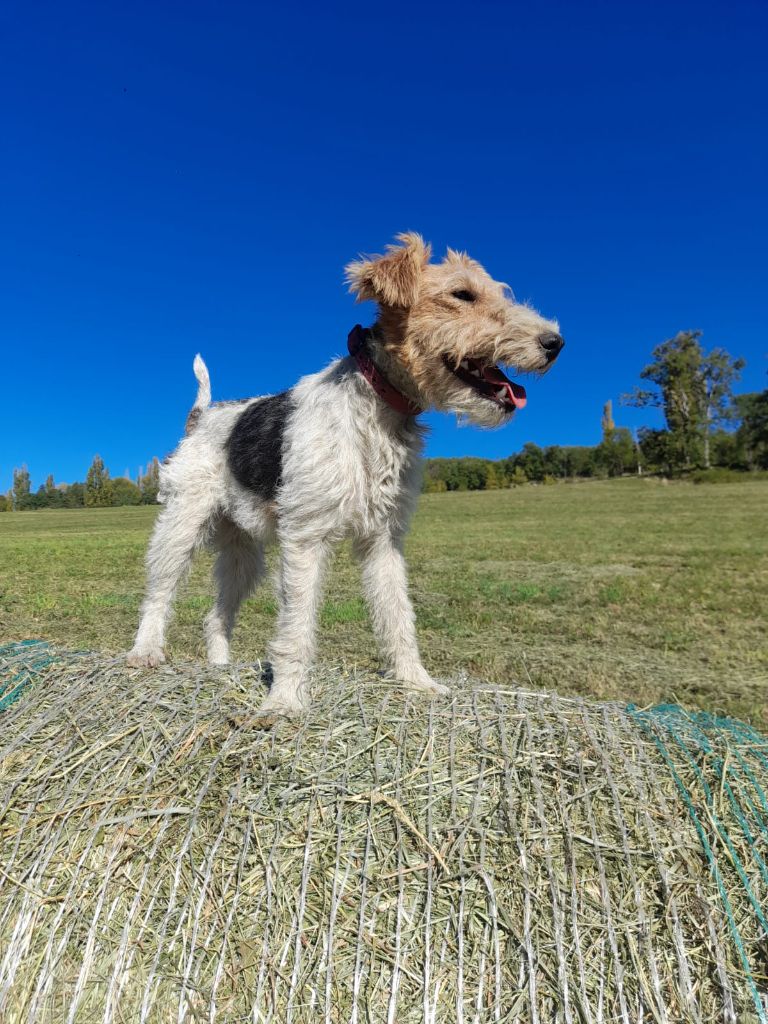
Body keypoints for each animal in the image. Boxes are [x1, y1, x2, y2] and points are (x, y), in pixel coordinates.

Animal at [128, 234, 565, 720]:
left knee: (216, 615)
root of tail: (202, 417)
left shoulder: (384, 540)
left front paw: (418, 682)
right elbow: (296, 626)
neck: (380, 405)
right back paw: (145, 652)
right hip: (181, 525)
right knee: (157, 593)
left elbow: (397, 616)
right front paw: (284, 702)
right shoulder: (306, 537)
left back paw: (220, 666)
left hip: (243, 552)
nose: (555, 342)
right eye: (462, 294)